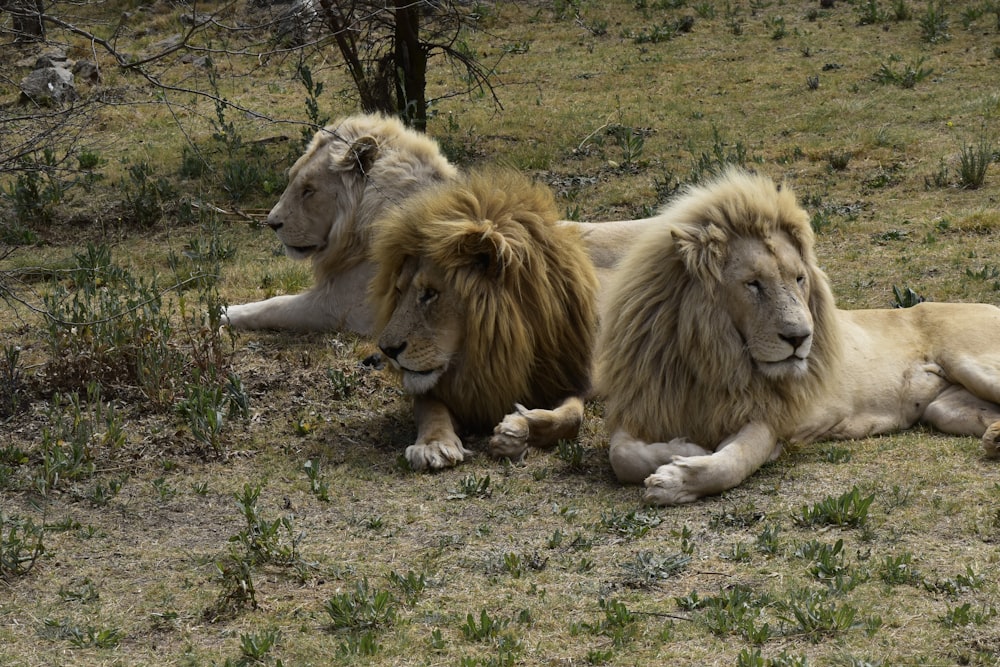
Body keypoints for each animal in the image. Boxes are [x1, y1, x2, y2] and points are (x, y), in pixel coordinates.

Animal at [223, 113, 652, 340]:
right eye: (292, 180)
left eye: (308, 190)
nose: (272, 223)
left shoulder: (348, 306)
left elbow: (275, 305)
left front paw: (225, 313)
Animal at [372, 167, 596, 470]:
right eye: (398, 291)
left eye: (430, 293)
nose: (387, 350)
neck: (488, 356)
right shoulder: (442, 389)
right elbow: (431, 411)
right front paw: (433, 445)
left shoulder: (568, 377)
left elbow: (573, 417)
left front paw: (518, 428)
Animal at [592, 168, 1000, 506]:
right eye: (753, 284)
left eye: (799, 278)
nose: (801, 337)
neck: (708, 361)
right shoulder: (644, 405)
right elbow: (622, 456)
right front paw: (686, 446)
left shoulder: (770, 419)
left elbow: (732, 463)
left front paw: (677, 479)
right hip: (944, 409)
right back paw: (996, 438)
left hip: (973, 365)